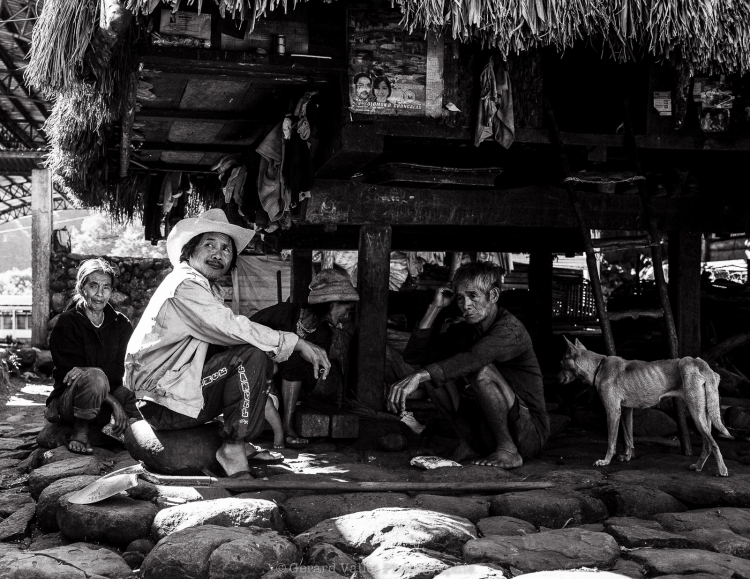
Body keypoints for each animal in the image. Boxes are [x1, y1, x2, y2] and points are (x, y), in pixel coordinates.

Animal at [560, 338, 732, 478]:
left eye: (561, 363)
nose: (556, 378)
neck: (598, 367)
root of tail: (698, 362)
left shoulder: (613, 411)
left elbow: (611, 441)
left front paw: (606, 461)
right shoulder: (626, 410)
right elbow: (628, 437)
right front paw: (627, 456)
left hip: (696, 413)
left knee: (713, 444)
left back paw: (722, 470)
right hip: (704, 413)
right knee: (707, 444)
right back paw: (698, 466)